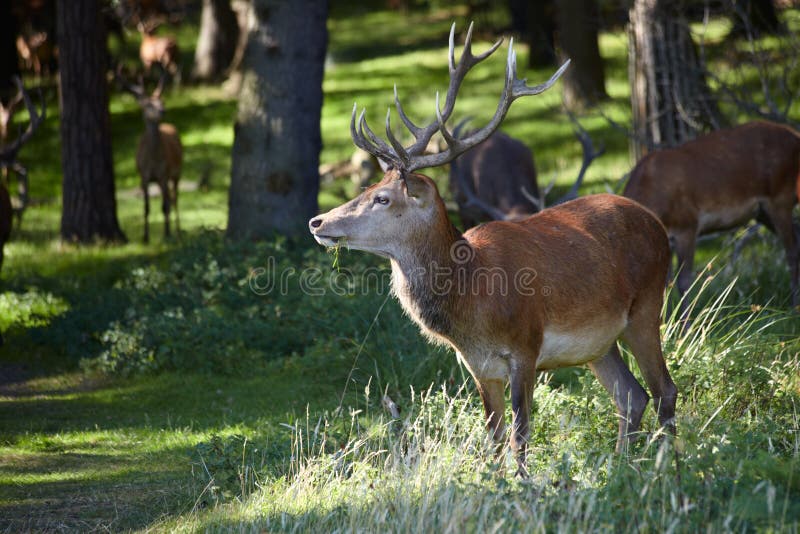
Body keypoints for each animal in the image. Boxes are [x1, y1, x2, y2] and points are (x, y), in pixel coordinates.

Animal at [118, 72, 182, 244]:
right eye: (147, 105)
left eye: (162, 101)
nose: (162, 110)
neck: (152, 161)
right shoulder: (144, 176)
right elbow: (146, 207)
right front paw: (145, 237)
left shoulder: (164, 174)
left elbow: (165, 206)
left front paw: (167, 234)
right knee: (169, 199)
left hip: (176, 173)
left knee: (174, 199)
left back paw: (177, 229)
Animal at [310, 25, 680, 478]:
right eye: (365, 188)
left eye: (382, 198)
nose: (318, 222)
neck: (474, 297)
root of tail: (656, 223)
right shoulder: (477, 367)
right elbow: (495, 440)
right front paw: (495, 483)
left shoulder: (525, 347)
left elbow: (521, 437)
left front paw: (524, 485)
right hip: (599, 342)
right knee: (632, 396)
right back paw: (623, 469)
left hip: (647, 306)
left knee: (664, 390)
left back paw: (671, 466)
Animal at [624, 121, 800, 310]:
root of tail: (795, 135)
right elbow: (665, 285)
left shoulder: (688, 225)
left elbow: (684, 282)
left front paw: (685, 319)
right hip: (762, 212)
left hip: (781, 196)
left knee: (792, 251)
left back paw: (793, 306)